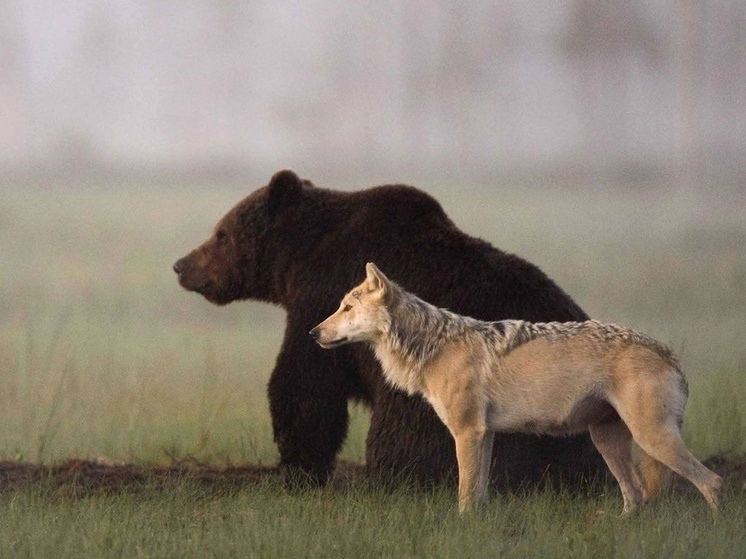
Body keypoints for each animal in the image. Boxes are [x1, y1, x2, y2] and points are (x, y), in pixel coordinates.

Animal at [174, 170, 604, 490]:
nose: (181, 265)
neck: (300, 260)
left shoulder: (321, 300)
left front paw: (299, 468)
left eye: (222, 234)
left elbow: (305, 385)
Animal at [308, 264, 720, 516]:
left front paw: (462, 526)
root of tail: (669, 353)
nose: (312, 332)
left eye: (346, 308)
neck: (433, 347)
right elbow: (479, 492)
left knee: (712, 482)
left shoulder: (468, 433)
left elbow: (465, 493)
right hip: (609, 442)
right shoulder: (484, 435)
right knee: (635, 495)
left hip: (652, 439)